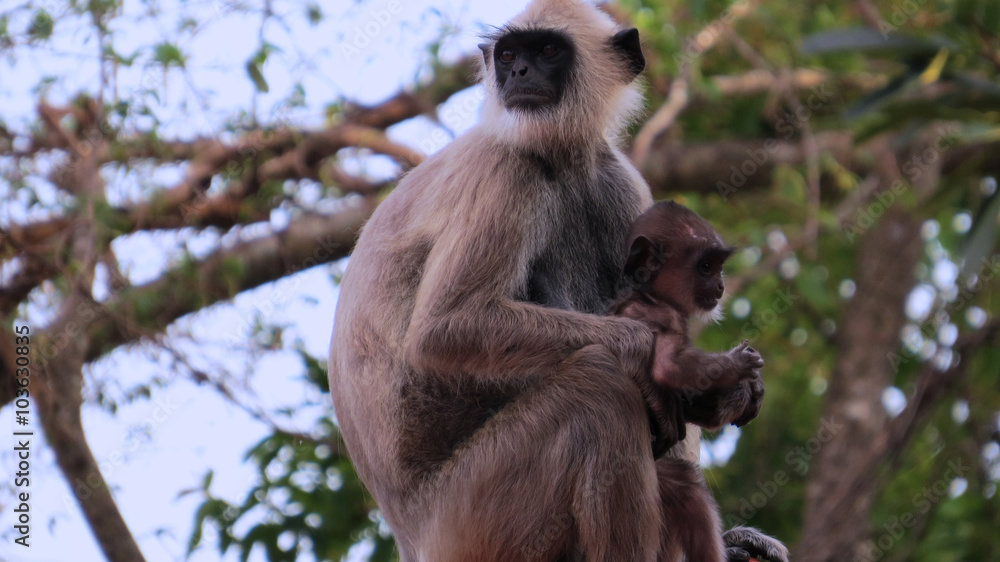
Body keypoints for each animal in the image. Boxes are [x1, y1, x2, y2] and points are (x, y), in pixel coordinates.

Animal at [609, 201, 788, 562]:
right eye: (706, 267)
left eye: (718, 267)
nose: (720, 285)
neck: (648, 294)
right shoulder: (663, 316)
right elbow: (667, 369)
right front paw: (739, 368)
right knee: (686, 488)